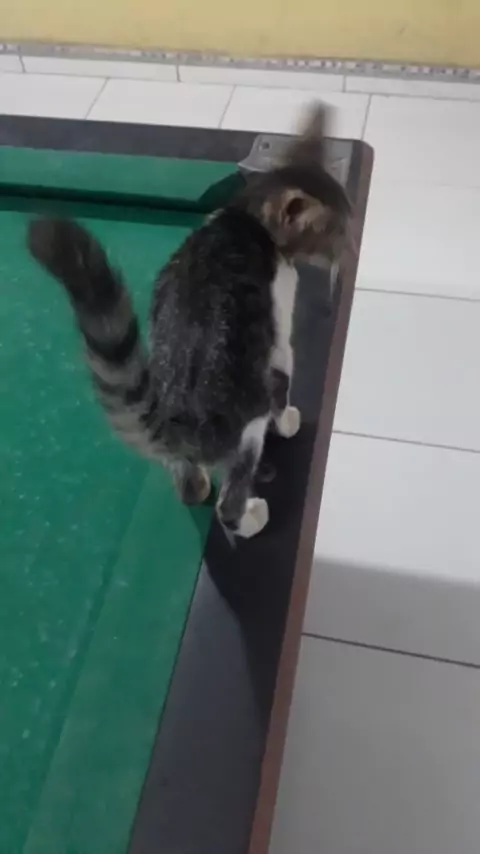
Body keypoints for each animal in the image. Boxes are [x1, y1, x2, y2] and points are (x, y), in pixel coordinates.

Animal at [27, 104, 350, 539]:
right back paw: (250, 516)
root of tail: (172, 419)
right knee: (228, 501)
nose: (349, 253)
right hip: (246, 424)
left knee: (185, 480)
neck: (246, 217)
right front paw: (287, 420)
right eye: (338, 232)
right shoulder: (278, 335)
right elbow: (284, 376)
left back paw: (194, 484)